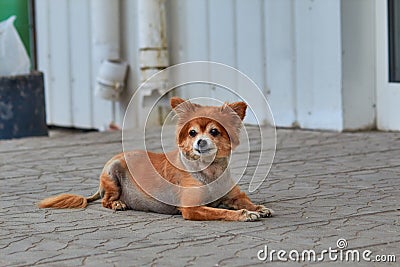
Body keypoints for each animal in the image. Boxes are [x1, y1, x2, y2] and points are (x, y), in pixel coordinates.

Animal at [39, 98, 274, 222]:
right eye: (192, 133)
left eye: (214, 132)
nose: (200, 142)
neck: (210, 172)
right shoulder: (192, 208)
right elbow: (222, 212)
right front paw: (245, 214)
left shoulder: (233, 195)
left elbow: (243, 200)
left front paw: (257, 207)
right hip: (113, 172)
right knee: (105, 201)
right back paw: (117, 203)